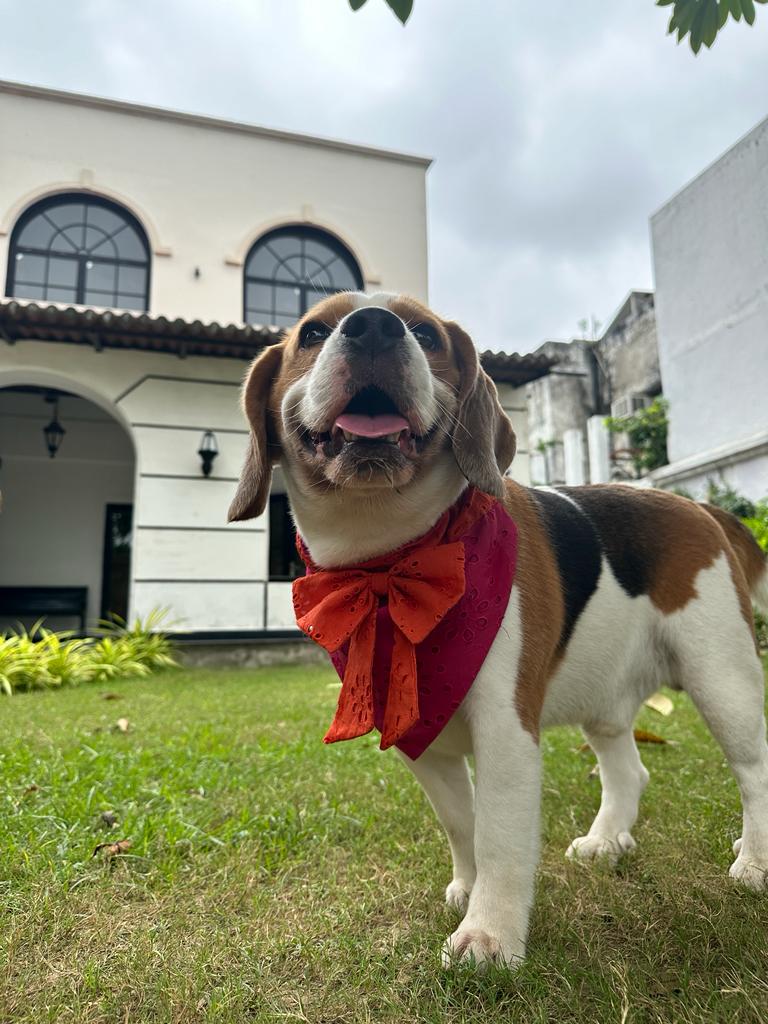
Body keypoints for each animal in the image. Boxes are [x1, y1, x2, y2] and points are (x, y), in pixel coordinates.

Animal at [231, 294, 768, 966]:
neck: (393, 561)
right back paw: (607, 839)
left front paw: (490, 936)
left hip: (722, 678)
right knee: (628, 769)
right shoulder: (422, 740)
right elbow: (462, 824)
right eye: (312, 333)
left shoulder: (507, 730)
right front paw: (468, 887)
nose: (375, 327)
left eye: (425, 333)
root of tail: (700, 508)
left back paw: (755, 861)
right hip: (607, 694)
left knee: (755, 769)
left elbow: (498, 834)